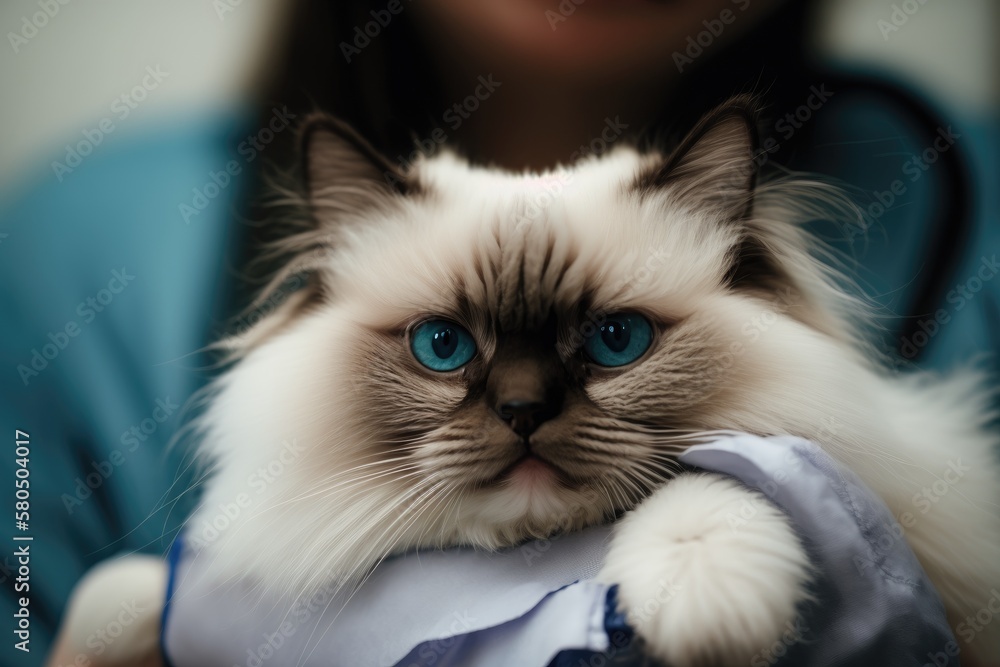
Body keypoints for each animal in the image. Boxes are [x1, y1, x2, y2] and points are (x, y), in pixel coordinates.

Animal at [50, 95, 1000, 667]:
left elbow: (719, 481)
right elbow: (123, 590)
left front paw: (710, 616)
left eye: (616, 340)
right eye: (443, 347)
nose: (522, 410)